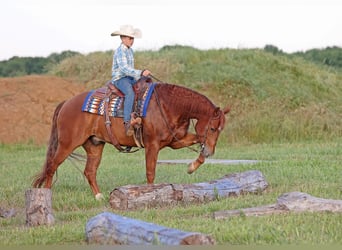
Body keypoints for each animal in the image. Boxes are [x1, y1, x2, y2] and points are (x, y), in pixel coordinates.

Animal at [32, 77, 230, 200]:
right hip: (67, 144)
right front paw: (150, 194)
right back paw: (46, 195)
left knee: (89, 171)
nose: (211, 152)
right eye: (213, 128)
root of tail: (66, 103)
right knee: (51, 166)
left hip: (94, 145)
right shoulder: (152, 145)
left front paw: (192, 166)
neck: (168, 105)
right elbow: (150, 171)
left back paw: (99, 197)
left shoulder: (175, 141)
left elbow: (197, 141)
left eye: (221, 130)